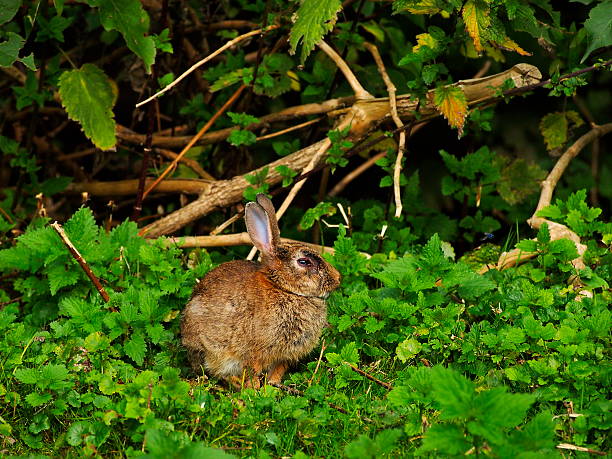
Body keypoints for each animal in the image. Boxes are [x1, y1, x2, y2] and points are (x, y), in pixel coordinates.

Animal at [182, 194, 342, 388]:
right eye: (304, 262)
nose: (337, 278)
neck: (283, 288)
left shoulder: (283, 357)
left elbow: (278, 371)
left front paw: (273, 385)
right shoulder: (254, 352)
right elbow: (253, 371)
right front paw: (255, 389)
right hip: (211, 350)